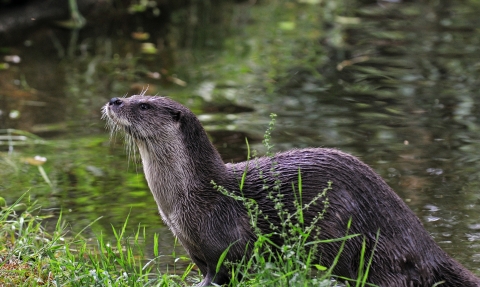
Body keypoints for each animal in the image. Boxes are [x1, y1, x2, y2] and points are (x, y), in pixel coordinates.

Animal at [102, 95, 480, 287]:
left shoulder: (227, 242)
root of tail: (421, 241)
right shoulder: (193, 247)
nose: (115, 99)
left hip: (361, 246)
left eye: (144, 105)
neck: (187, 199)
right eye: (134, 94)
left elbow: (226, 272)